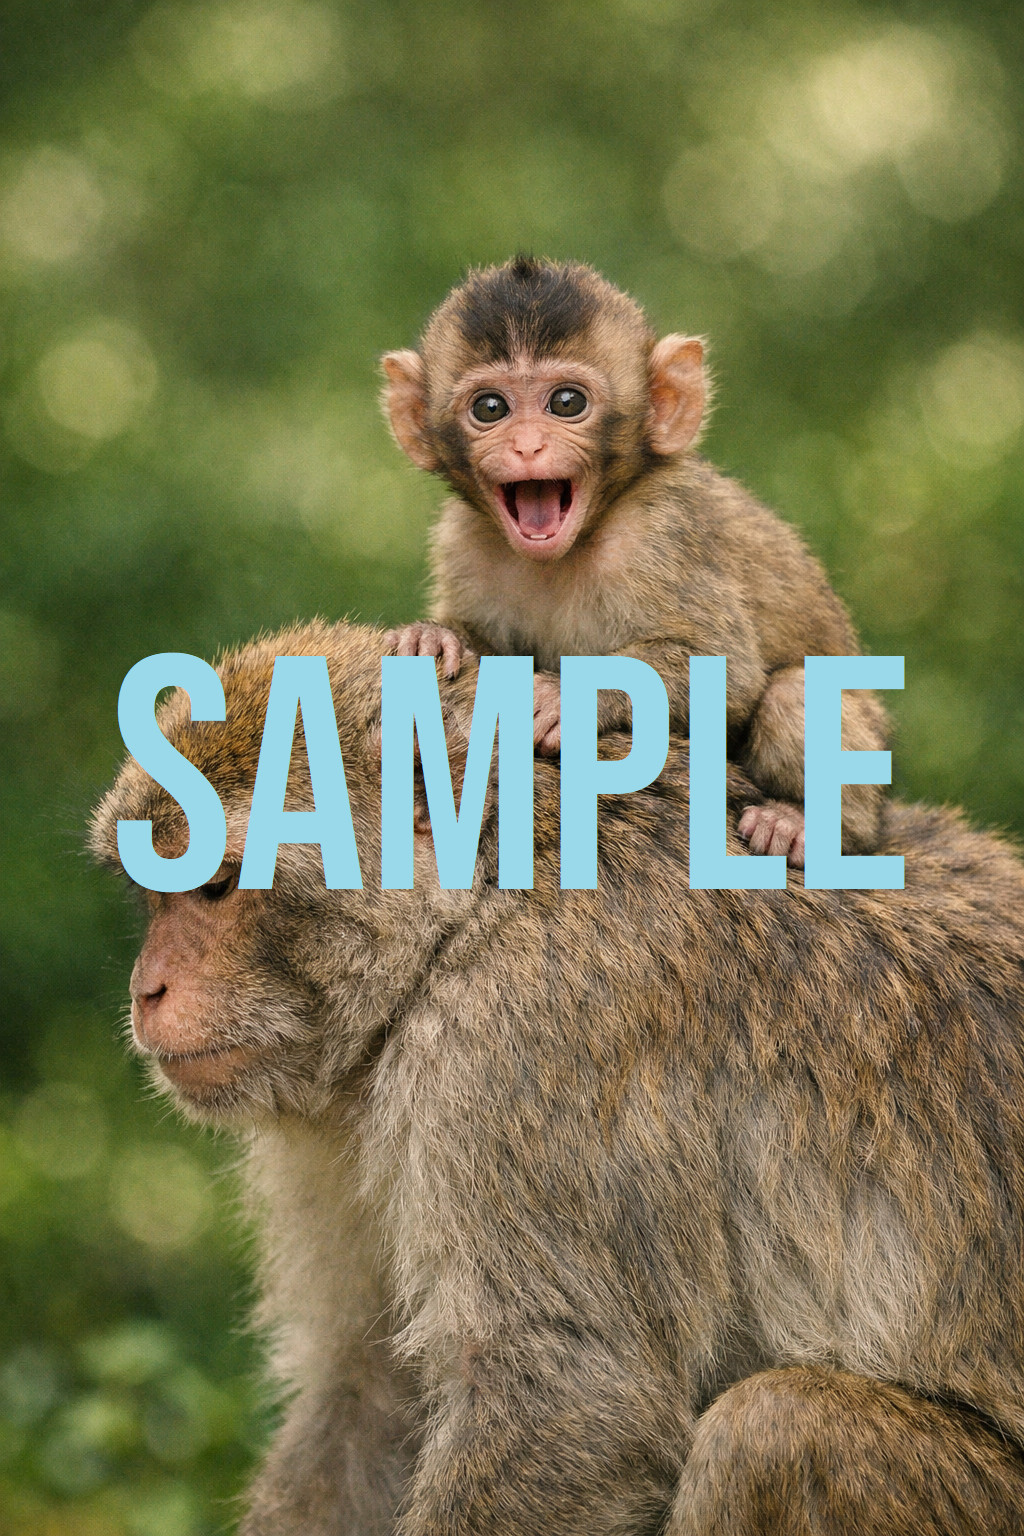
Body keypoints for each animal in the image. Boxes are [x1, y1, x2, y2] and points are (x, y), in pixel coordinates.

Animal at [91, 617, 1024, 1535]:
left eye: (215, 886)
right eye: (156, 889)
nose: (146, 989)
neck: (479, 904)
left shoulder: (519, 1044)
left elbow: (572, 1401)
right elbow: (366, 1393)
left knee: (774, 1434)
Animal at [381, 255, 889, 869]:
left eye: (567, 403)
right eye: (490, 408)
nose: (527, 446)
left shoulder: (661, 532)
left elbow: (727, 669)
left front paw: (565, 697)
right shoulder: (463, 539)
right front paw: (438, 636)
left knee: (796, 692)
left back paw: (807, 825)